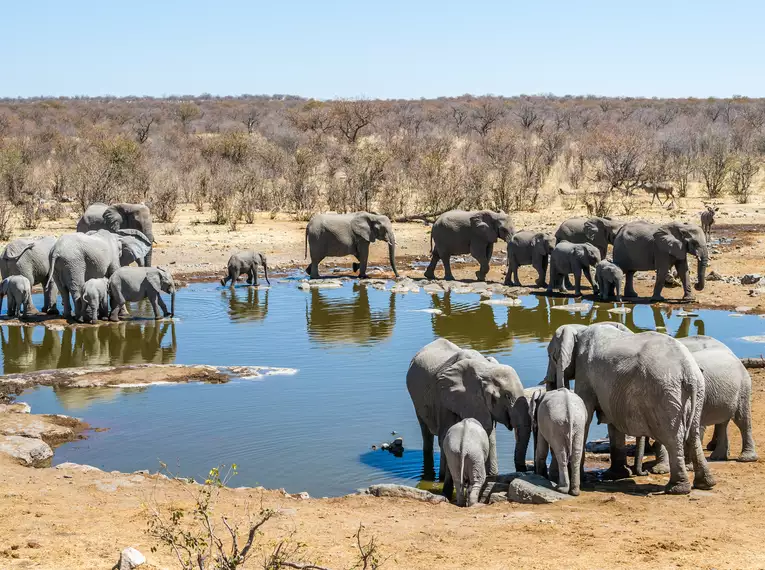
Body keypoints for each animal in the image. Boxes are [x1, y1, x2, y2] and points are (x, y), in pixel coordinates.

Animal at [406, 338, 532, 492]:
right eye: (507, 396)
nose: (524, 471)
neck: (484, 368)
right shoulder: (443, 398)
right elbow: (445, 436)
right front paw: (444, 479)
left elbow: (489, 435)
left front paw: (491, 476)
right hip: (417, 400)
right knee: (426, 432)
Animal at [548, 324, 712, 492]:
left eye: (551, 356)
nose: (644, 472)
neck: (580, 329)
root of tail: (688, 371)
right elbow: (613, 422)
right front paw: (616, 475)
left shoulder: (585, 372)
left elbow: (586, 415)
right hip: (695, 391)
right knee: (693, 434)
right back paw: (705, 484)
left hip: (666, 392)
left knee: (673, 438)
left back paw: (676, 489)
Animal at [632, 336, 760, 472]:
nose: (644, 471)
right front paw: (660, 470)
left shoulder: (700, 395)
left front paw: (687, 467)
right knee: (722, 422)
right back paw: (717, 457)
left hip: (743, 387)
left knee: (741, 419)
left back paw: (745, 458)